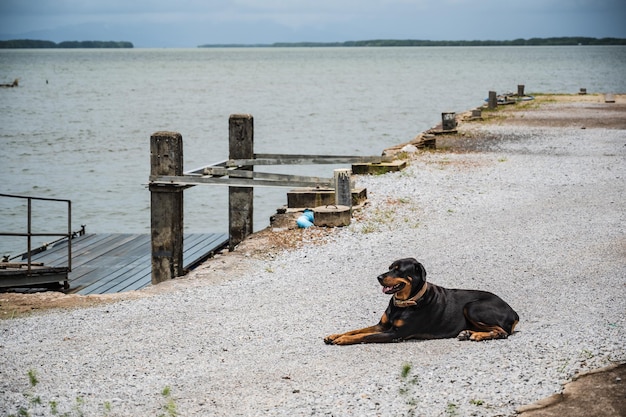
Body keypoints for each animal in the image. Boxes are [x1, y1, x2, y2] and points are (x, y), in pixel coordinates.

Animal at [322, 256, 516, 344]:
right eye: (389, 267)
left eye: (398, 270)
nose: (378, 277)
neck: (404, 303)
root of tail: (514, 312)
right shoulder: (382, 325)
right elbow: (356, 330)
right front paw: (335, 335)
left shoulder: (395, 334)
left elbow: (364, 335)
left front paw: (342, 340)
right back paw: (468, 333)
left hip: (472, 307)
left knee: (503, 332)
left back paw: (477, 335)